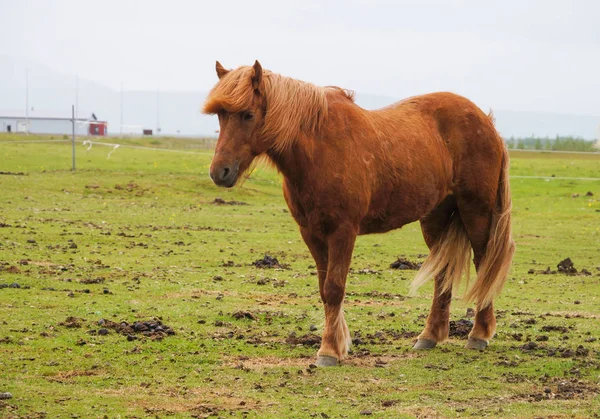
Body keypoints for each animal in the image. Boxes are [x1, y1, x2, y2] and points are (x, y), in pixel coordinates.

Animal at [204, 60, 512, 366]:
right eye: (220, 115)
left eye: (248, 114)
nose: (220, 172)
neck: (319, 147)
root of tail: (486, 122)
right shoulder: (311, 233)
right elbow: (324, 289)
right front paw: (337, 344)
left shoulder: (343, 231)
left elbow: (334, 288)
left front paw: (329, 351)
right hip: (435, 217)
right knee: (442, 272)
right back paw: (429, 337)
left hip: (476, 211)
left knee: (484, 263)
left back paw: (478, 335)